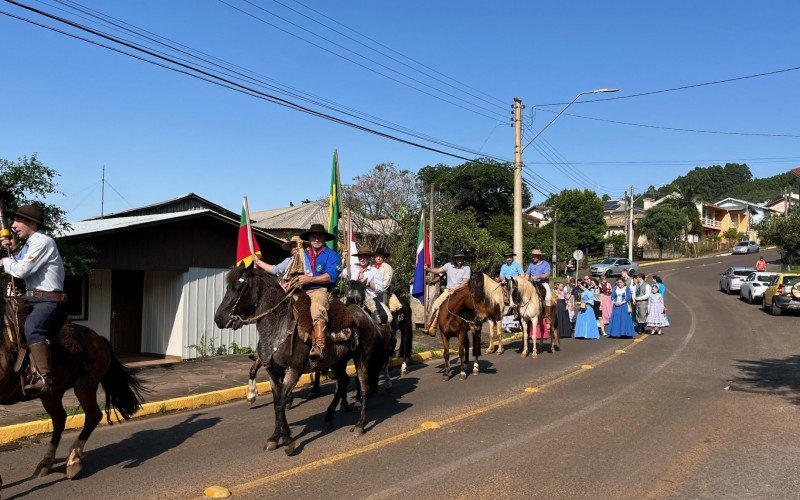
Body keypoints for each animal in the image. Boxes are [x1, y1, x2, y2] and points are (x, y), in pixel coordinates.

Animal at [0, 294, 146, 486]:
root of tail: (99, 339)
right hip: (52, 393)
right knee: (60, 419)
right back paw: (46, 462)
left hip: (84, 386)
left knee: (93, 415)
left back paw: (73, 460)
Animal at [212, 268, 388, 456]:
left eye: (238, 287)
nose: (218, 319)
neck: (279, 326)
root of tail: (367, 316)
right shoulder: (273, 373)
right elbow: (277, 403)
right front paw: (275, 437)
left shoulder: (293, 371)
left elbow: (281, 403)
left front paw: (287, 440)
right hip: (337, 362)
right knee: (343, 381)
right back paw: (330, 414)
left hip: (362, 358)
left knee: (363, 386)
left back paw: (359, 425)